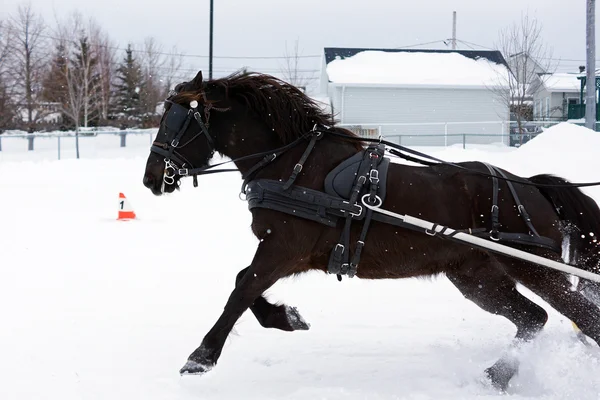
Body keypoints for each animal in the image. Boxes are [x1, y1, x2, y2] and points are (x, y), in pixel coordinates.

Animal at [143, 69, 600, 390]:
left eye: (176, 121)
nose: (151, 178)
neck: (294, 164)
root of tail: (532, 187)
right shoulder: (287, 253)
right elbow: (245, 284)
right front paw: (287, 317)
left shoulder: (283, 249)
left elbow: (241, 290)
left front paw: (200, 357)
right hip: (477, 278)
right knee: (534, 318)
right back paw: (496, 377)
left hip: (534, 267)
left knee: (581, 319)